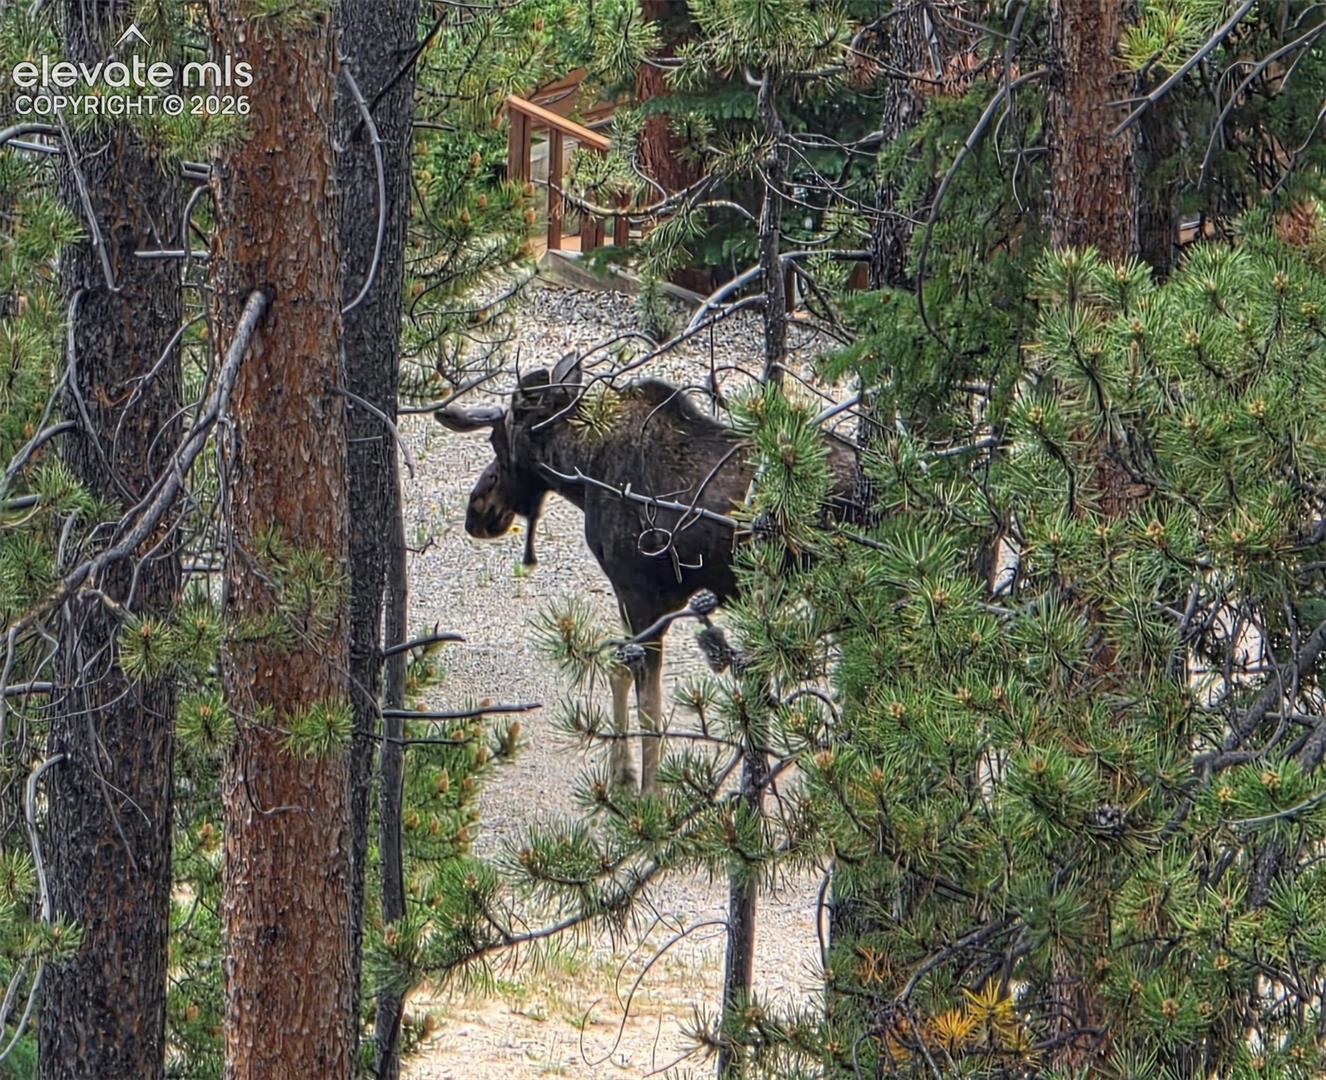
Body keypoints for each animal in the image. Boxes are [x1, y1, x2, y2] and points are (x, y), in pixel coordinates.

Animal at [437, 351, 857, 796]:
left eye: (497, 442)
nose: (478, 511)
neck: (582, 472)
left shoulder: (639, 594)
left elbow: (650, 709)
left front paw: (649, 793)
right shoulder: (647, 600)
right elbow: (619, 669)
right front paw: (621, 775)